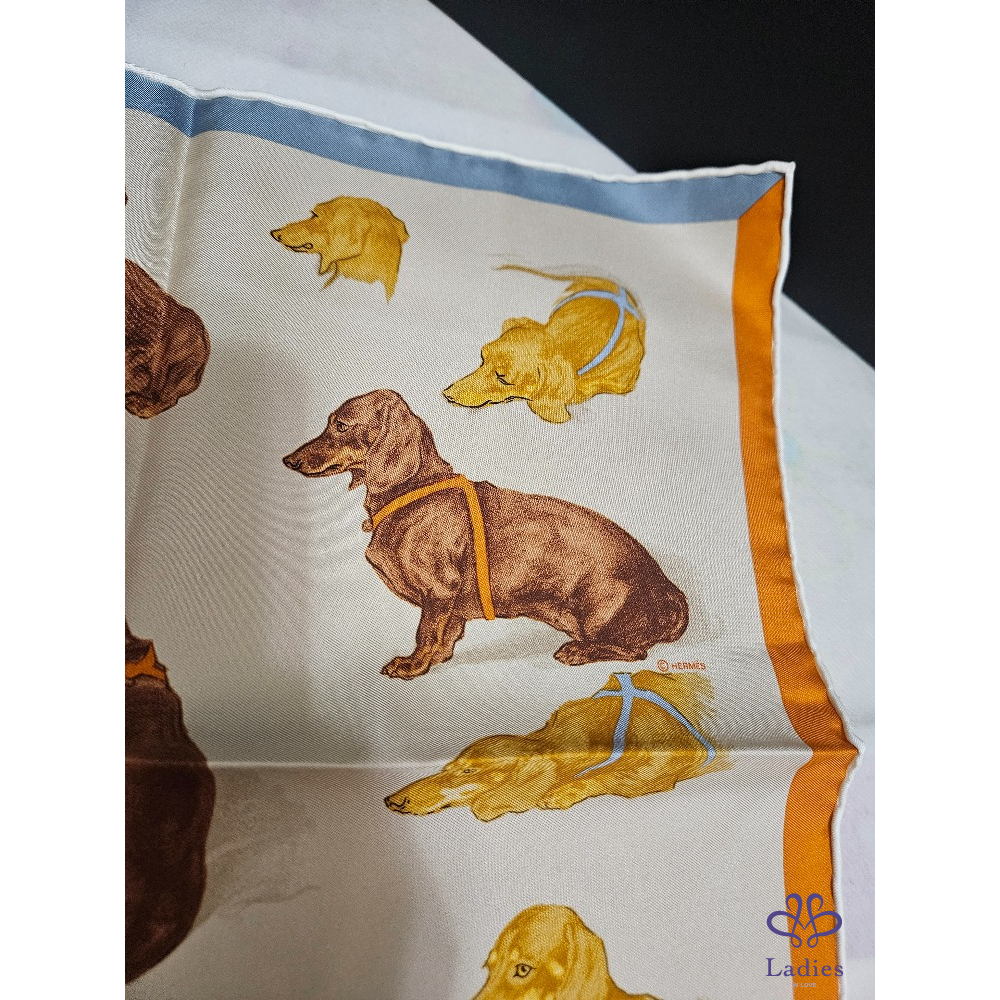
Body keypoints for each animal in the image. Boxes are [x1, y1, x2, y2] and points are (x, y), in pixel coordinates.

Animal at [283, 390, 688, 678]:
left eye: (342, 425)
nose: (288, 460)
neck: (413, 492)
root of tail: (673, 594)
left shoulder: (439, 589)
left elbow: (425, 632)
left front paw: (413, 665)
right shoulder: (449, 603)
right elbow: (446, 634)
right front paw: (437, 658)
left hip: (598, 614)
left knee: (634, 652)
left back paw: (577, 652)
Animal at [385, 670, 724, 821]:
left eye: (470, 771)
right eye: (447, 768)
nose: (391, 799)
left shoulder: (665, 762)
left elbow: (609, 775)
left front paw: (563, 791)